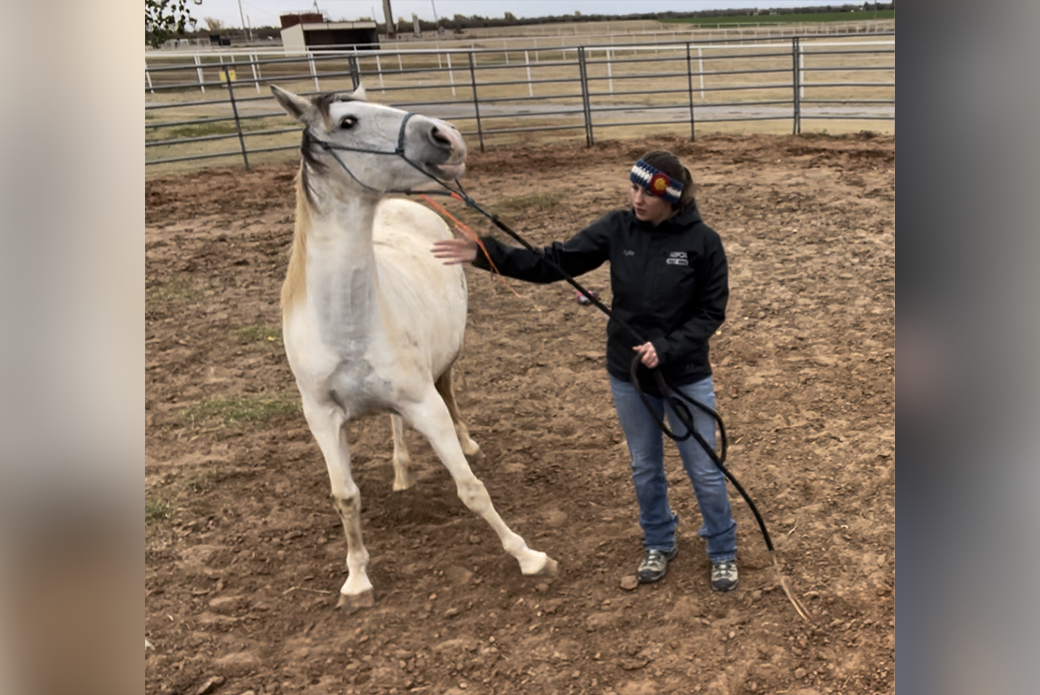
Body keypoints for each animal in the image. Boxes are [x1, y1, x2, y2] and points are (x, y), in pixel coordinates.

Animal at [272, 84, 557, 607]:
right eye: (347, 122)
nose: (447, 135)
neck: (346, 326)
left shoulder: (425, 404)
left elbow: (470, 487)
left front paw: (528, 556)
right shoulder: (321, 418)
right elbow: (345, 497)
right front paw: (356, 579)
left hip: (444, 363)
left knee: (448, 392)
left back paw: (464, 442)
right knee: (392, 425)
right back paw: (402, 472)